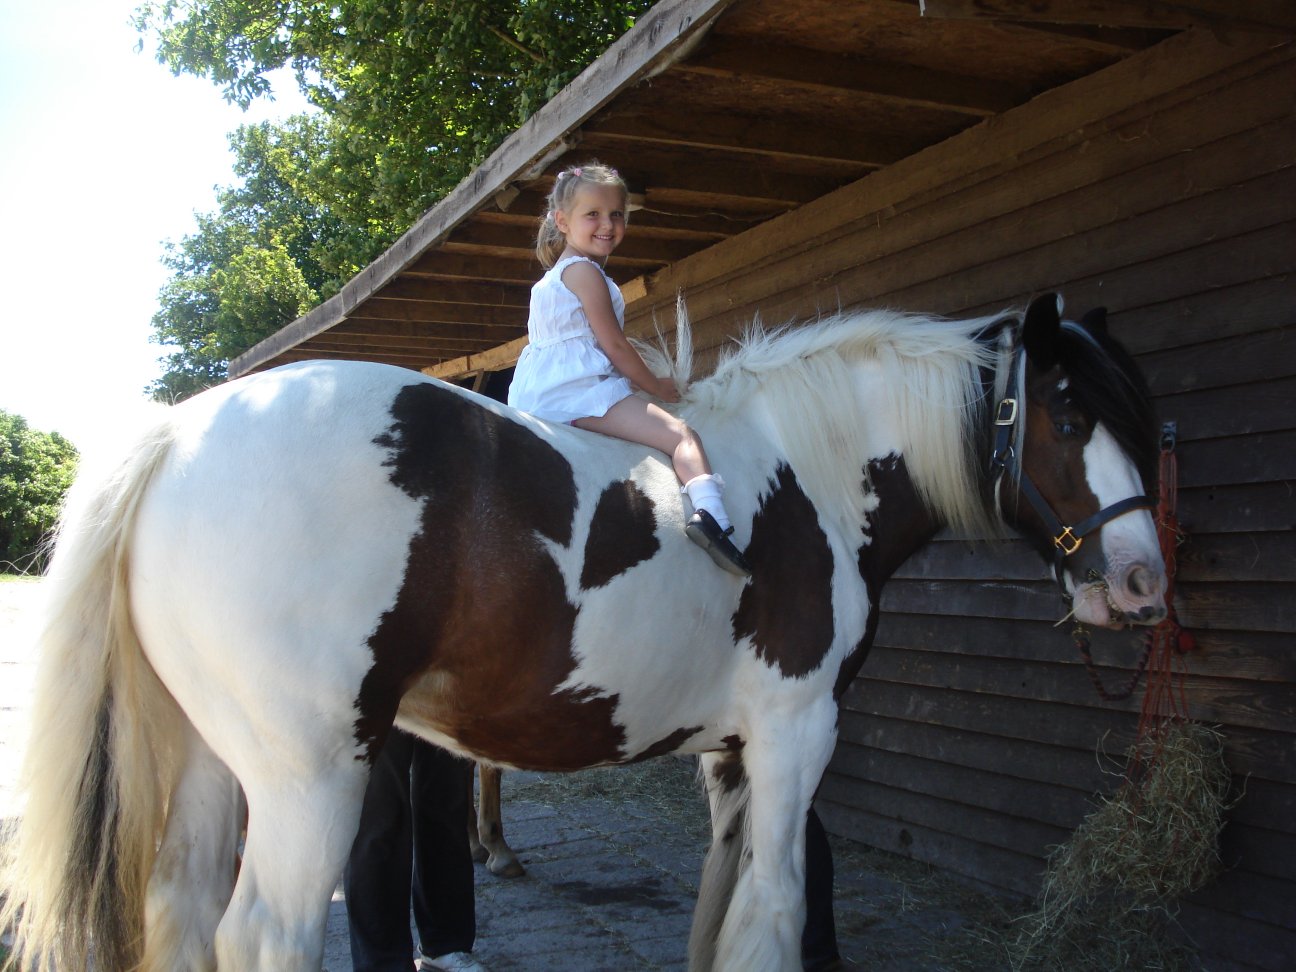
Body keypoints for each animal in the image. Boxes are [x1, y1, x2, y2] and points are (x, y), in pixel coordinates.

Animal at [0, 293, 1166, 972]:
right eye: (1068, 412)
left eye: (1139, 414)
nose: (1143, 581)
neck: (809, 474)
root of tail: (175, 435)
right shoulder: (796, 733)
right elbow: (780, 912)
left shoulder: (731, 755)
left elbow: (723, 912)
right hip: (307, 779)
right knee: (262, 936)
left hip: (207, 762)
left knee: (180, 912)